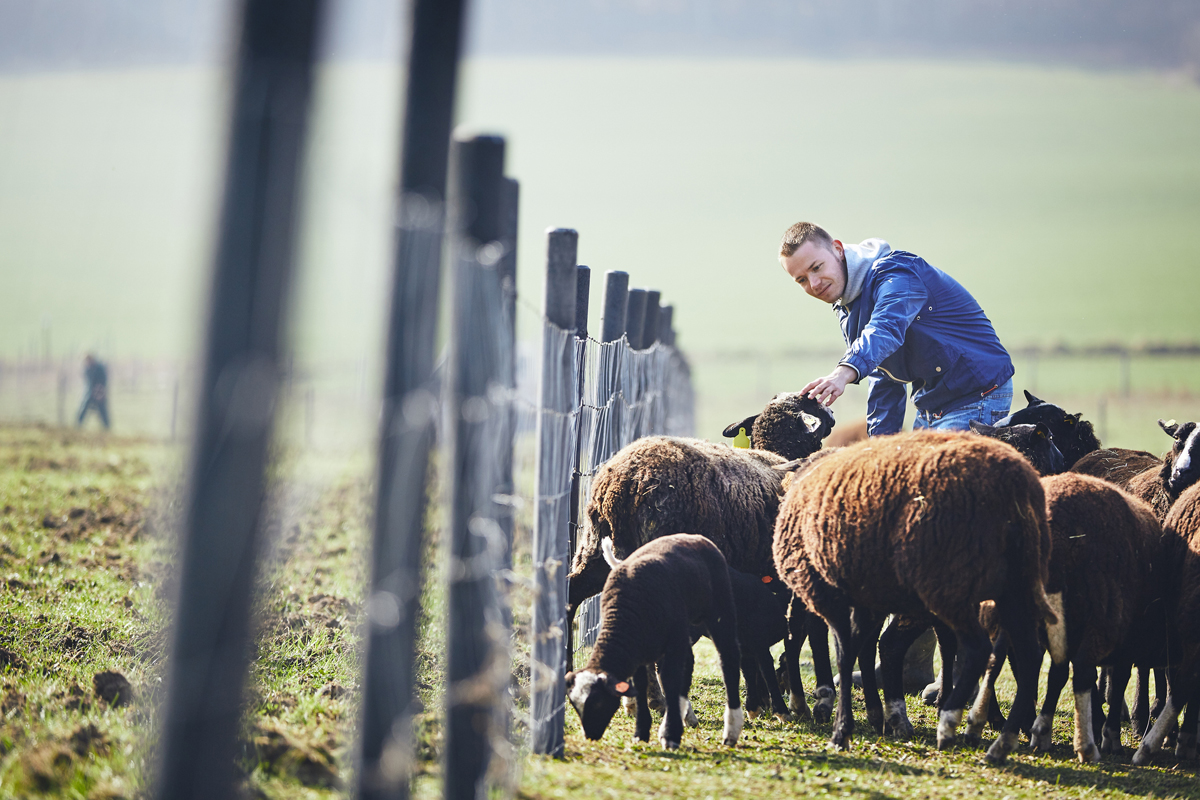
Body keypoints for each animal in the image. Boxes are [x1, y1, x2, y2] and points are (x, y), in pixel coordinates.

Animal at [768, 431, 1060, 762]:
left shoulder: (838, 594)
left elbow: (845, 653)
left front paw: (843, 728)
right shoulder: (866, 596)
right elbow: (861, 649)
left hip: (950, 583)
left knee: (976, 648)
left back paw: (949, 723)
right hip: (1013, 586)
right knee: (1027, 652)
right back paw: (1000, 739)